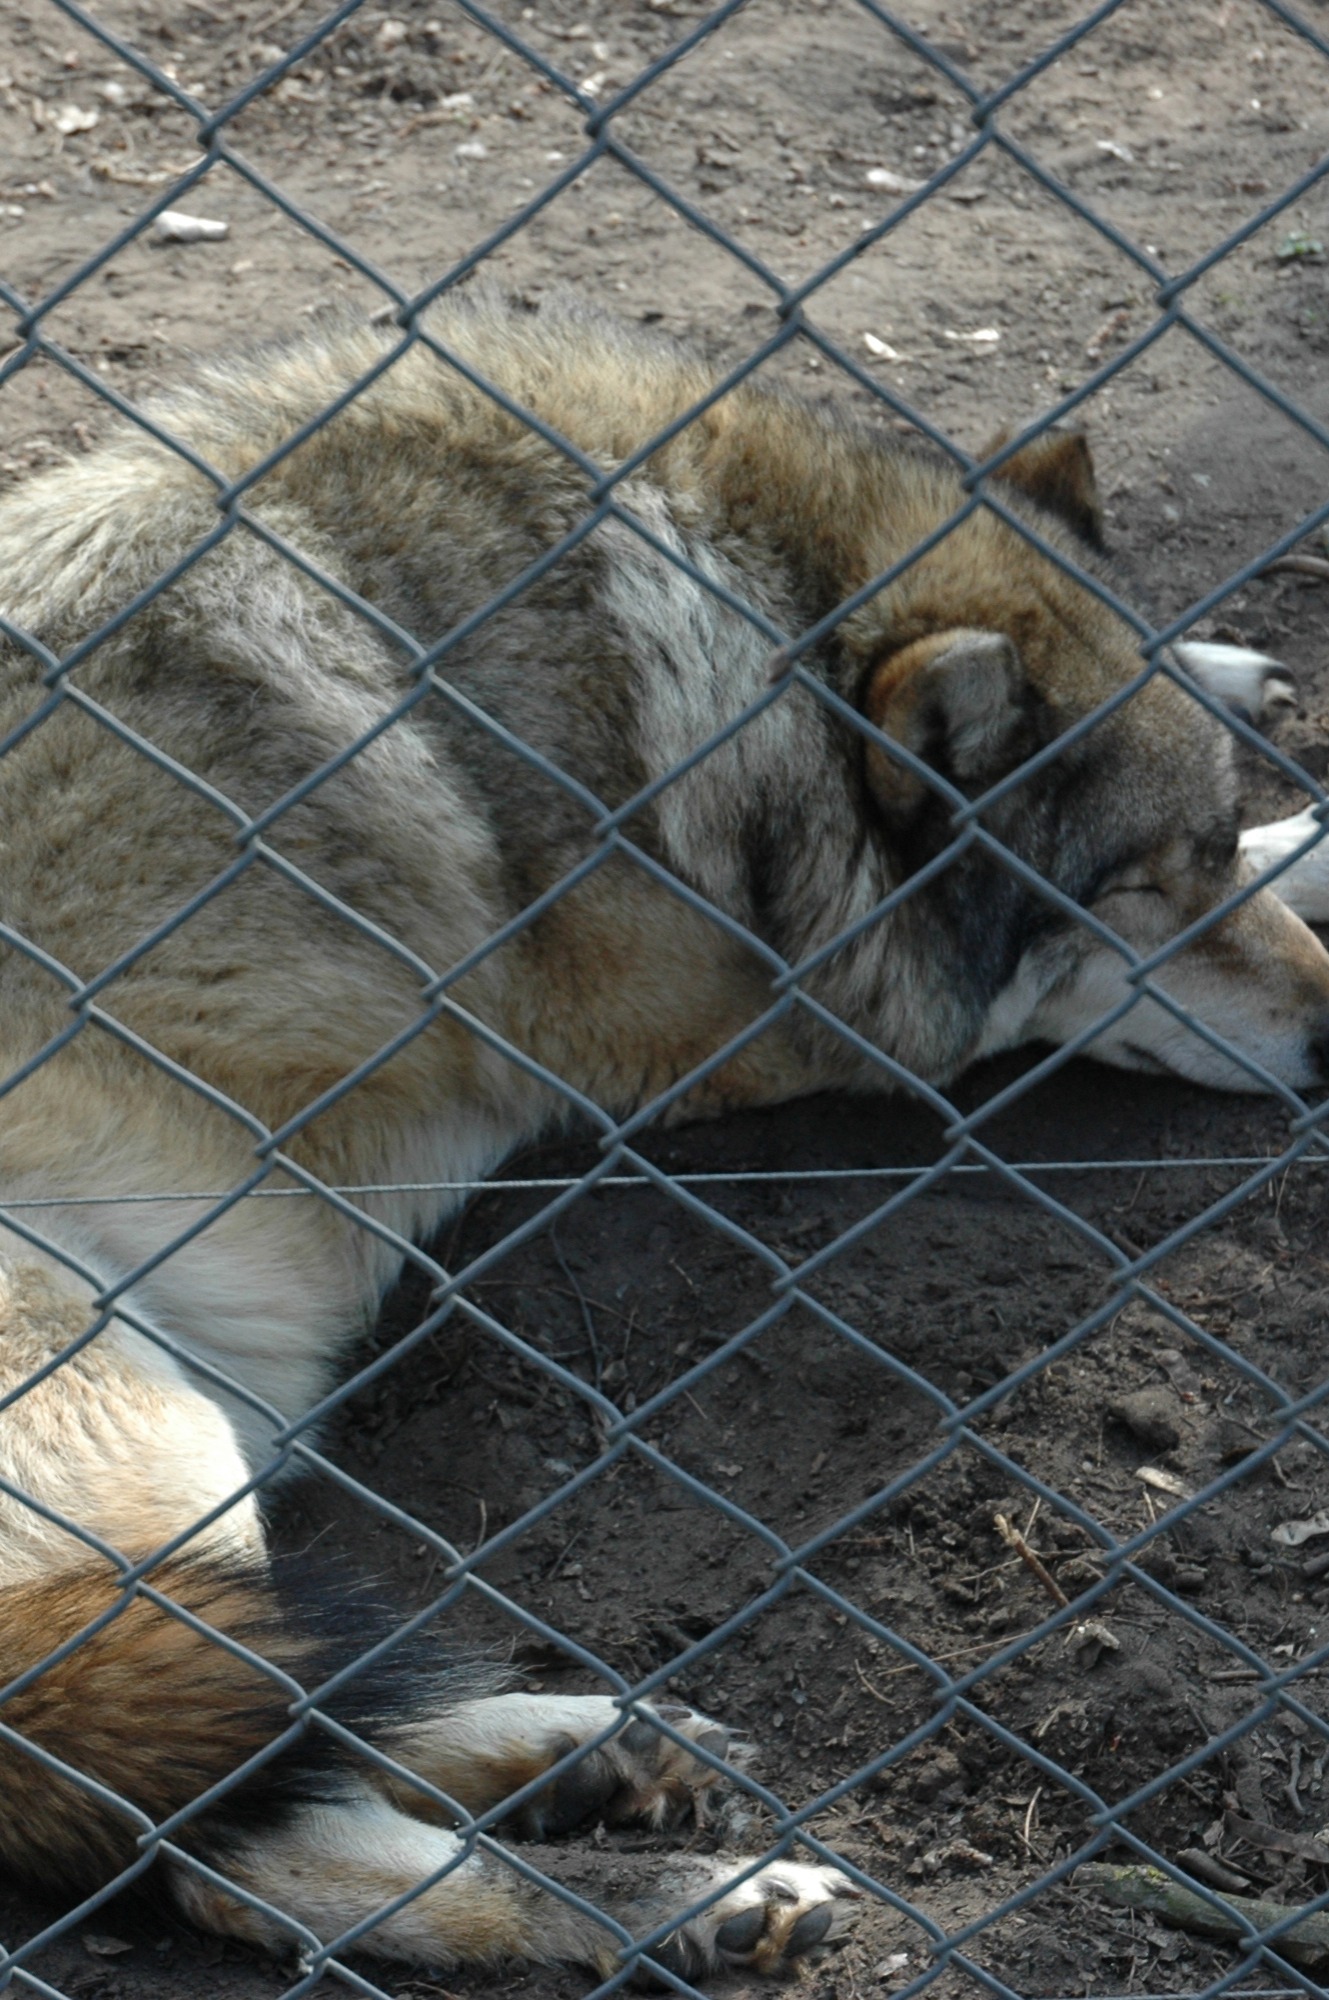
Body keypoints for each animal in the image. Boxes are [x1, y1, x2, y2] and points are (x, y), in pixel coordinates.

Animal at [1, 292, 1327, 1981]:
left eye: (1200, 848)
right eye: (1152, 889)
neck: (759, 659)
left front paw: (1220, 666)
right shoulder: (756, 1033)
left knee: (283, 1723)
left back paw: (590, 1750)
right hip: (143, 1429)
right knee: (243, 1852)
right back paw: (685, 1897)